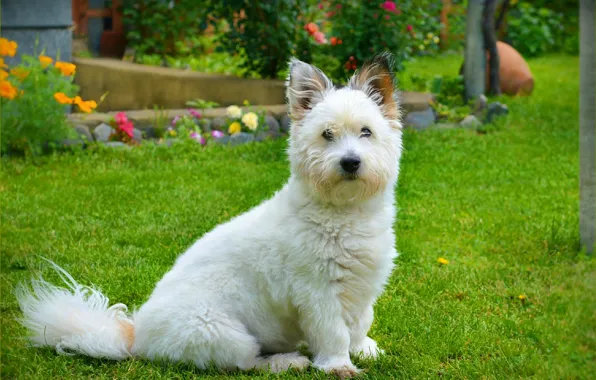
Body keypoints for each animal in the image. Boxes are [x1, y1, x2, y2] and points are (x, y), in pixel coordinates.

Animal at [15, 52, 406, 378]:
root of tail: (137, 337)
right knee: (246, 364)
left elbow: (360, 322)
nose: (350, 162)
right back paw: (285, 362)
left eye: (366, 132)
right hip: (227, 334)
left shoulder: (363, 287)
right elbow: (334, 332)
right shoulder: (318, 293)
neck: (344, 212)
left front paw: (364, 349)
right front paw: (339, 365)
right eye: (327, 135)